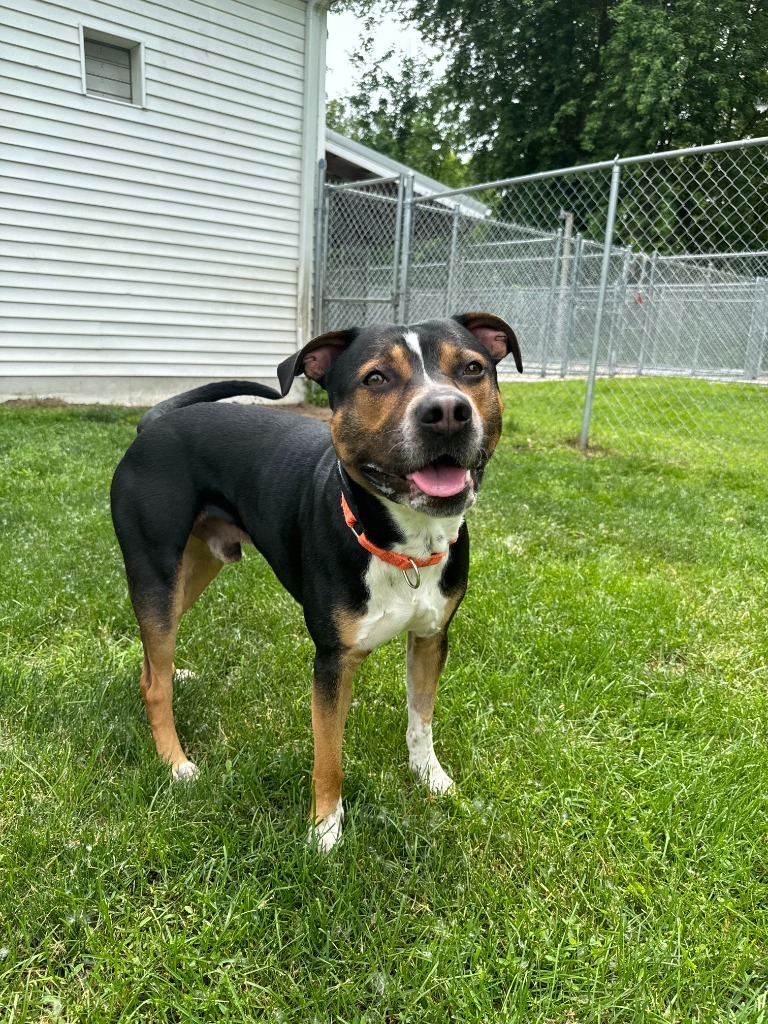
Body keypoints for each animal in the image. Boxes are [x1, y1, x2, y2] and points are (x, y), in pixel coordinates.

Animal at [109, 309, 524, 847]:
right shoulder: (332, 661)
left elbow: (421, 717)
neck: (404, 547)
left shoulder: (432, 637)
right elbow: (329, 754)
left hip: (194, 569)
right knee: (155, 680)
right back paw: (176, 763)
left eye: (473, 369)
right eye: (376, 378)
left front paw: (431, 778)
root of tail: (153, 422)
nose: (448, 411)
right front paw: (325, 830)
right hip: (155, 569)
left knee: (153, 661)